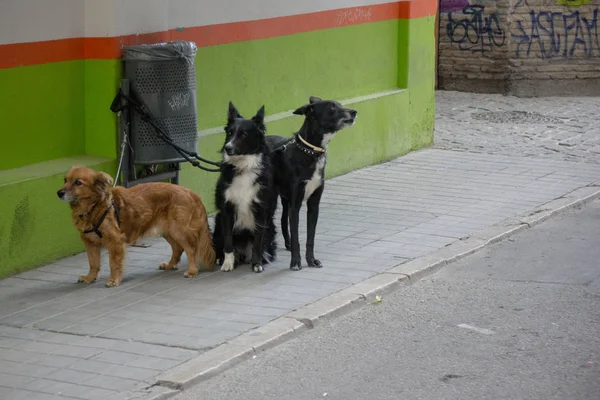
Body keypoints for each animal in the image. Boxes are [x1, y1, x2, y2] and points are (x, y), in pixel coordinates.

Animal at [58, 166, 216, 288]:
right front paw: (90, 278)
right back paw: (170, 265)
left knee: (191, 249)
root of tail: (191, 193)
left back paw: (193, 270)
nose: (59, 193)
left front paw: (114, 280)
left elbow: (113, 263)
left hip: (179, 230)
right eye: (65, 180)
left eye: (78, 182)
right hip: (167, 230)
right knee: (178, 248)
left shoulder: (115, 242)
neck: (94, 207)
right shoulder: (90, 242)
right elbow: (93, 264)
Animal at [212, 101, 278, 274]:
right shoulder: (226, 211)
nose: (227, 147)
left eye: (244, 134)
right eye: (230, 133)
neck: (243, 167)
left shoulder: (261, 211)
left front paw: (257, 263)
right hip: (217, 222)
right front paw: (227, 263)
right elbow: (228, 242)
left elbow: (257, 242)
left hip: (270, 227)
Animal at [266, 97, 356, 272]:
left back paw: (286, 244)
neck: (310, 151)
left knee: (283, 219)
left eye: (340, 105)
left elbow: (310, 238)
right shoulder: (296, 205)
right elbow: (297, 238)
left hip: (285, 199)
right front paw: (296, 262)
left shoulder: (314, 204)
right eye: (332, 108)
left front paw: (311, 260)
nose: (355, 112)